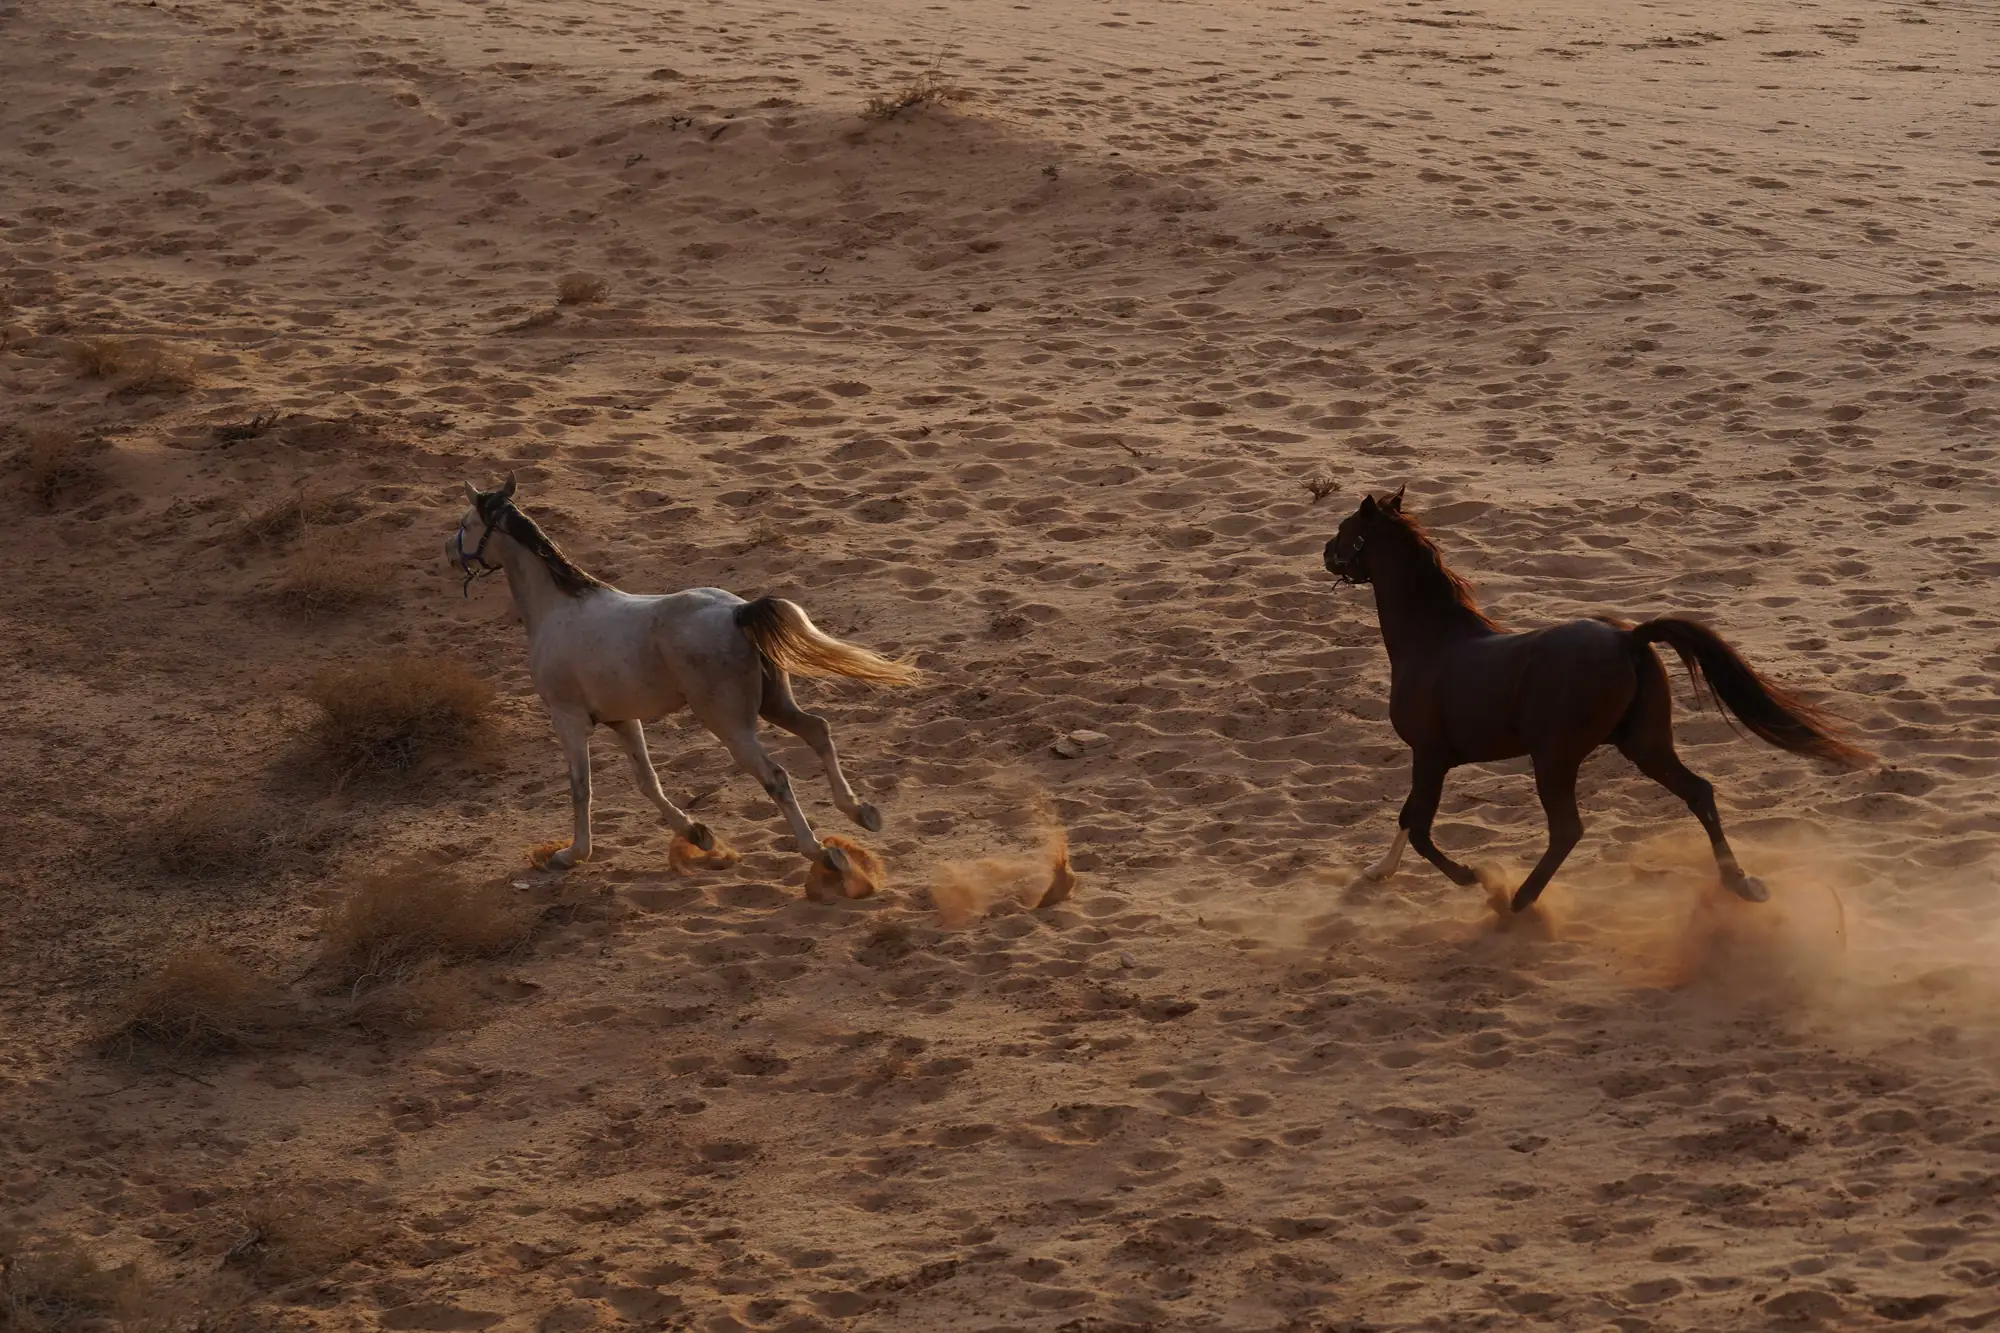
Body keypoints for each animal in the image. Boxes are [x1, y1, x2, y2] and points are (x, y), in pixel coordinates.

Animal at [448, 472, 920, 885]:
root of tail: (737, 612)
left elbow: (581, 787)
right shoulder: (623, 719)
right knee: (818, 731)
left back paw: (823, 853)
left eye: (467, 524)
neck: (557, 608)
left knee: (776, 776)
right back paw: (862, 813)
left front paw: (571, 855)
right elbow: (647, 780)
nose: (451, 555)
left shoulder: (568, 719)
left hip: (729, 725)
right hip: (774, 704)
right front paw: (697, 833)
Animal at [1323, 487, 1869, 913]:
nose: (1326, 551)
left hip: (1556, 758)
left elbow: (1418, 827)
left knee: (1568, 828)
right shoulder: (1431, 757)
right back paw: (1743, 884)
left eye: (1346, 528)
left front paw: (1473, 877)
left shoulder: (1430, 755)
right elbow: (1406, 818)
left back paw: (1517, 900)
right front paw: (1377, 870)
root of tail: (1628, 639)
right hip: (1644, 743)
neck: (1433, 641)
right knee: (1699, 793)